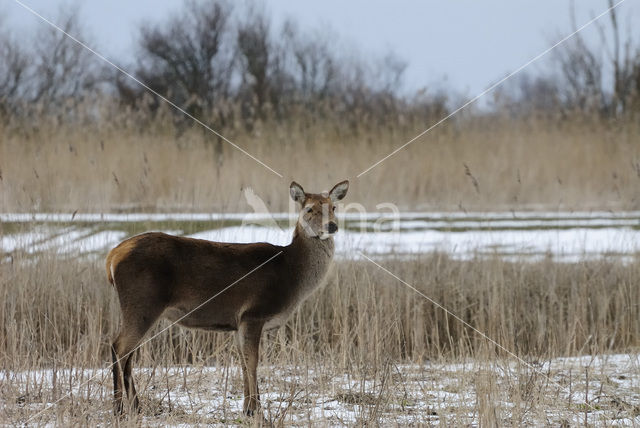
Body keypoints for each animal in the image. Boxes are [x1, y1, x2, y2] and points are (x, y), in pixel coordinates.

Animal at [107, 179, 350, 416]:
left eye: (333, 207)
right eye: (309, 209)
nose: (332, 226)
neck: (291, 273)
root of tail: (113, 255)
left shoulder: (238, 322)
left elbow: (243, 363)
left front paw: (247, 409)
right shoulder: (254, 313)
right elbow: (253, 362)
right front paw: (258, 413)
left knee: (128, 354)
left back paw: (136, 408)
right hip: (142, 303)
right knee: (119, 347)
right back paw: (119, 409)